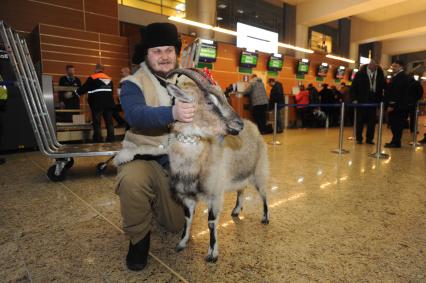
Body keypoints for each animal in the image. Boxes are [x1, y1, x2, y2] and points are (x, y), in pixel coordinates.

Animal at [166, 69, 270, 264]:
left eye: (225, 98)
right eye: (209, 101)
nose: (238, 124)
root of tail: (253, 125)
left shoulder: (215, 194)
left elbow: (211, 222)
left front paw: (212, 254)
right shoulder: (187, 196)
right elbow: (187, 219)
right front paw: (182, 243)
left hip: (259, 170)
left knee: (264, 193)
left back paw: (265, 218)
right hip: (240, 172)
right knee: (241, 188)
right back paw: (236, 210)